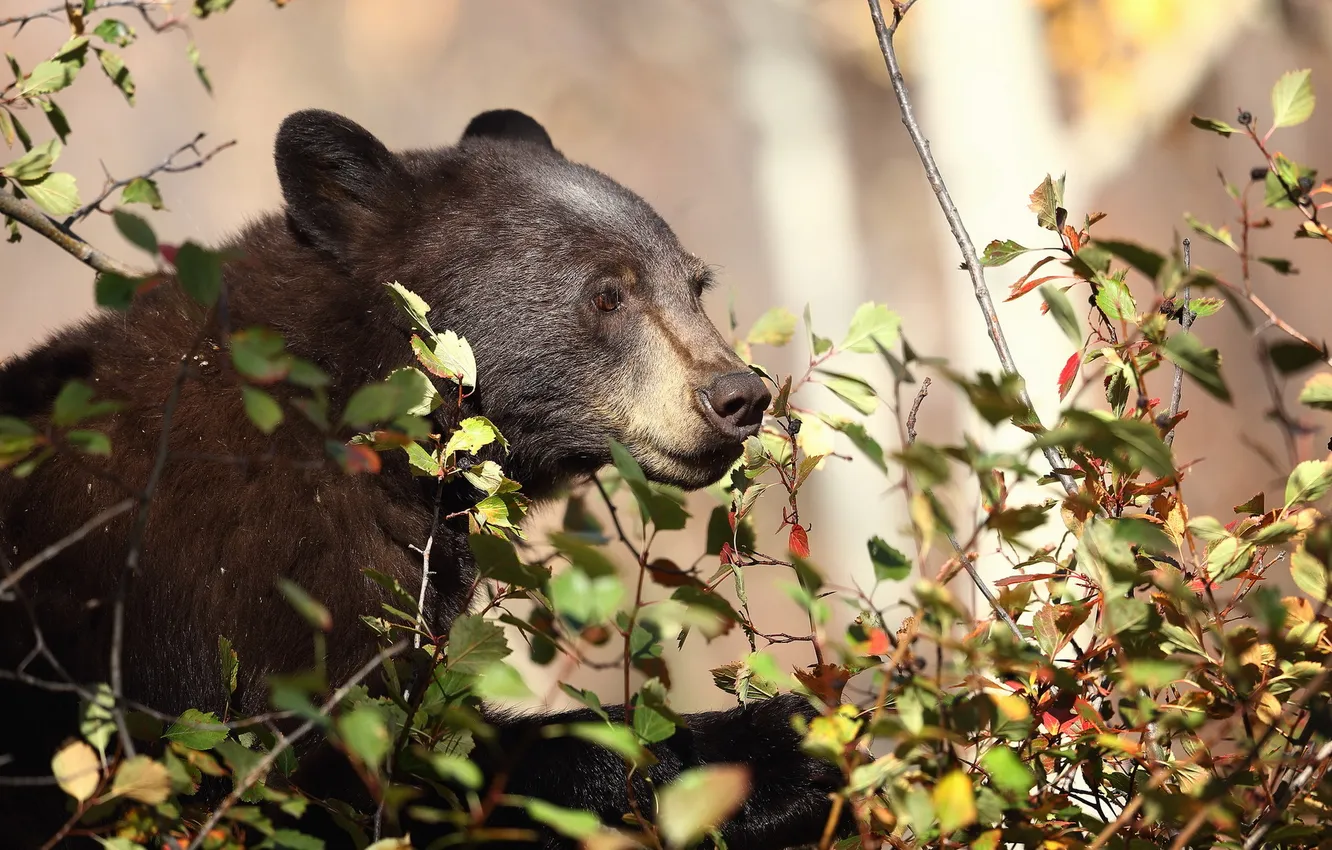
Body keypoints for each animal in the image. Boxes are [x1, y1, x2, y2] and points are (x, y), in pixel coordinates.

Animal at [0, 108, 850, 849]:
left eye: (695, 283)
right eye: (608, 291)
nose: (737, 396)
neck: (349, 402)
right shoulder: (248, 589)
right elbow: (348, 769)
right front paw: (773, 751)